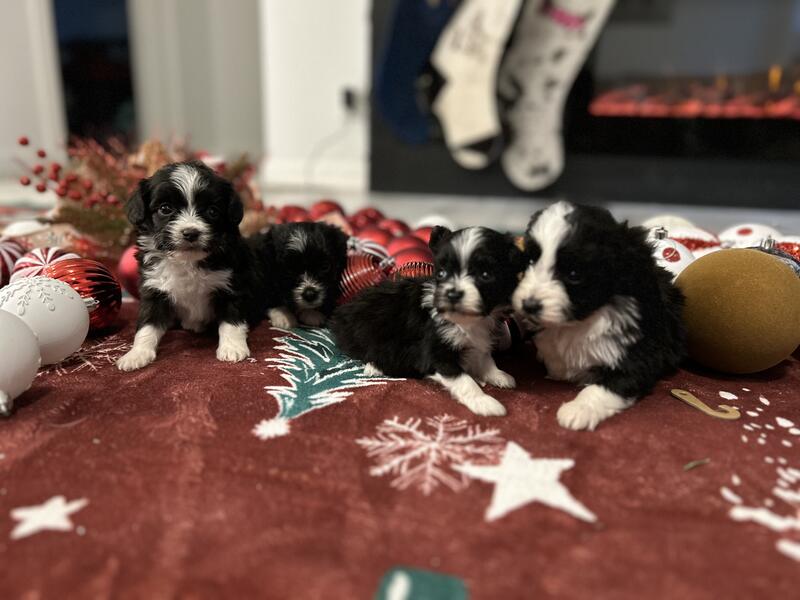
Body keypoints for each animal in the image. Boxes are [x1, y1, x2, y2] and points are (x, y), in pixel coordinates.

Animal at [116, 160, 268, 371]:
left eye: (212, 211)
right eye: (165, 209)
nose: (190, 233)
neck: (187, 260)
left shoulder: (232, 284)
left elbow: (231, 319)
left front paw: (232, 348)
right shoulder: (154, 288)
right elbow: (147, 323)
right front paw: (137, 353)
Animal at [330, 226, 525, 416]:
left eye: (485, 275)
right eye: (441, 273)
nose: (452, 294)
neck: (466, 320)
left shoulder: (479, 341)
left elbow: (485, 359)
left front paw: (498, 375)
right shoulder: (434, 354)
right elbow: (463, 379)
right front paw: (484, 402)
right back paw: (375, 367)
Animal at [512, 201, 686, 430]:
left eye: (574, 274)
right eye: (531, 261)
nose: (529, 305)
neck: (579, 321)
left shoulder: (640, 351)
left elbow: (606, 385)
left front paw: (579, 410)